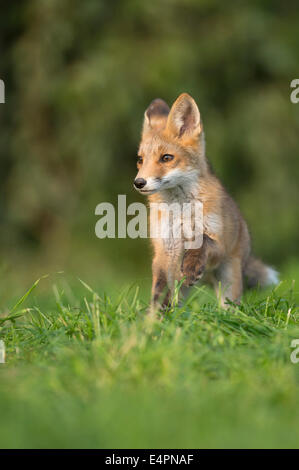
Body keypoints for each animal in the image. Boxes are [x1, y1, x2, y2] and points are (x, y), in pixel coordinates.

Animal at [134, 93, 278, 310]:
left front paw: (192, 264)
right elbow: (158, 293)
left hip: (228, 278)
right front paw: (153, 317)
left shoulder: (218, 242)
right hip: (182, 286)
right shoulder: (165, 251)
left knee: (229, 307)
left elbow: (203, 241)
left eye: (166, 158)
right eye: (140, 160)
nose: (139, 182)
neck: (181, 211)